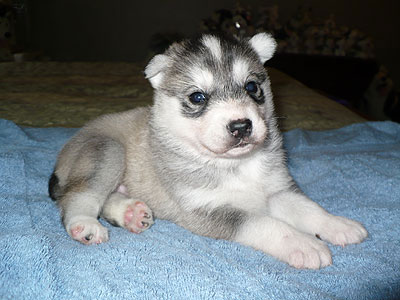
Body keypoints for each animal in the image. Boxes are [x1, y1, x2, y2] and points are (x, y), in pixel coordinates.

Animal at [48, 33, 368, 270]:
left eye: (251, 86)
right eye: (198, 97)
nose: (241, 126)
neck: (237, 165)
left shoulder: (277, 189)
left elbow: (309, 208)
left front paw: (337, 225)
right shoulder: (210, 211)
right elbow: (268, 224)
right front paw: (305, 244)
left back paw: (131, 213)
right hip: (107, 152)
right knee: (77, 197)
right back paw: (84, 225)